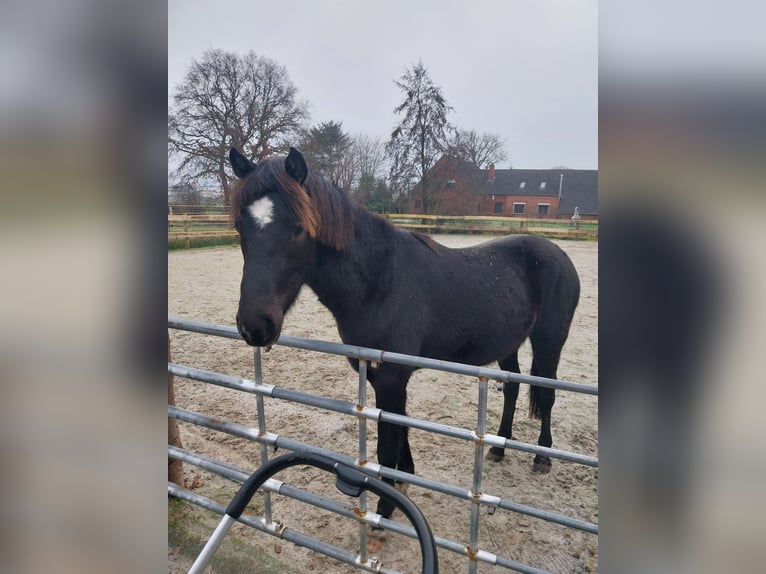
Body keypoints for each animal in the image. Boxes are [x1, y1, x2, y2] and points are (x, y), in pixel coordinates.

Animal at [228, 147, 584, 520]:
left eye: (298, 229)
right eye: (240, 227)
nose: (255, 324)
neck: (379, 281)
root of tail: (557, 252)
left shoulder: (391, 379)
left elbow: (388, 444)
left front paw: (384, 508)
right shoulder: (381, 378)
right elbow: (400, 427)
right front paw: (403, 480)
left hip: (549, 342)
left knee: (547, 394)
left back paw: (542, 457)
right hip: (509, 344)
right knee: (513, 388)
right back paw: (499, 447)